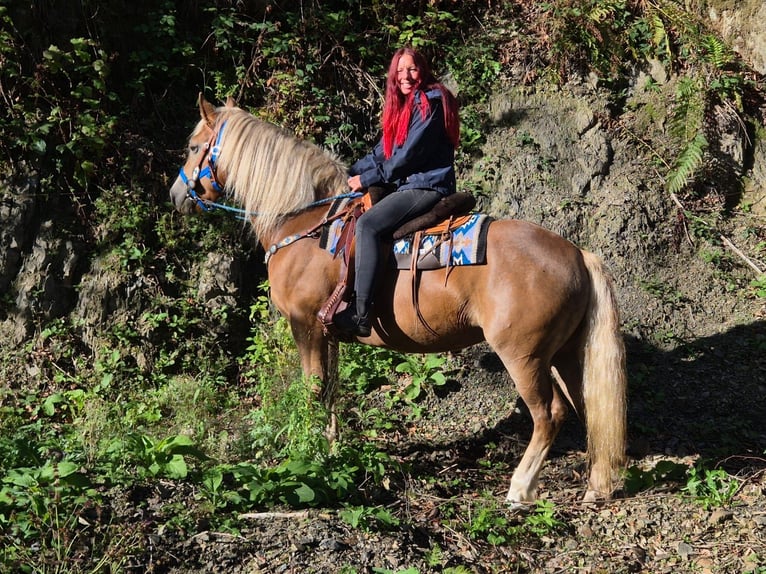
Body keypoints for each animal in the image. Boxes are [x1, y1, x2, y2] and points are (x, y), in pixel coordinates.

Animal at [168, 95, 628, 505]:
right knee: (589, 407)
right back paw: (595, 485)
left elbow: (313, 391)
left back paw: (520, 488)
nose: (175, 195)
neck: (306, 222)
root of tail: (577, 254)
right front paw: (333, 451)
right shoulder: (327, 332)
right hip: (565, 354)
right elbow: (331, 391)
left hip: (523, 355)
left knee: (549, 415)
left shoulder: (306, 325)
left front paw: (310, 456)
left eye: (192, 146)